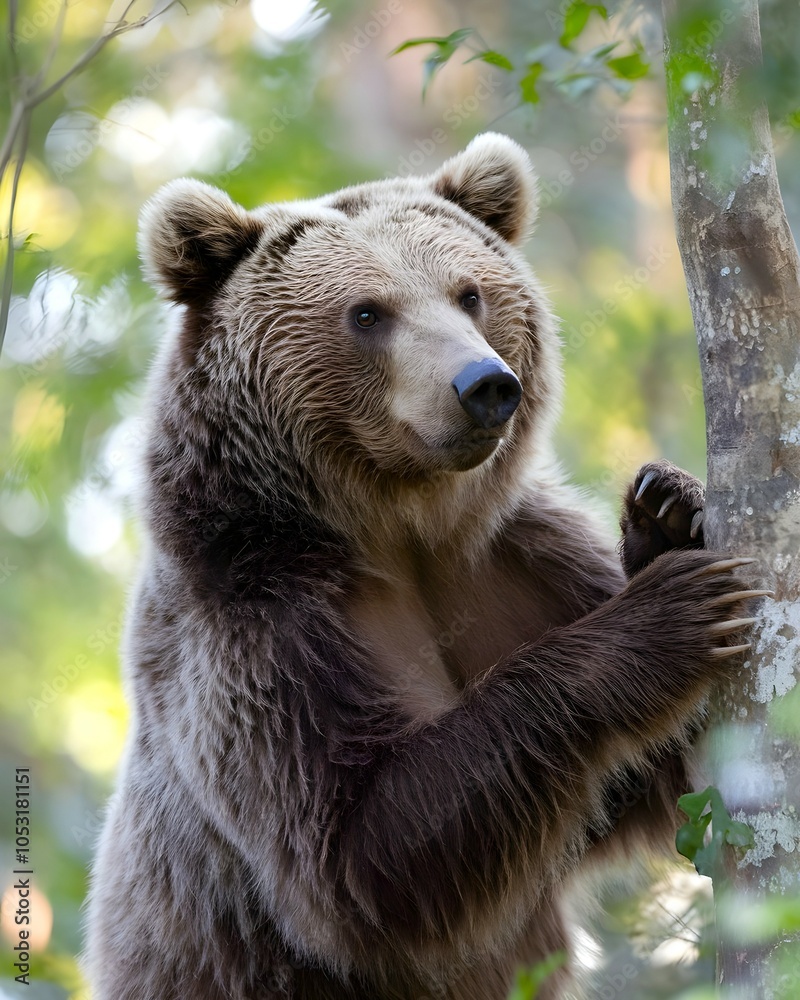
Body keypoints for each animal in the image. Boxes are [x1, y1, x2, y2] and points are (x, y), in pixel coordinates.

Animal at [84, 133, 759, 1000]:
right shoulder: (258, 629)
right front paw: (663, 619)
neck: (396, 528)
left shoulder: (513, 562)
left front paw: (667, 516)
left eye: (468, 293)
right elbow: (364, 853)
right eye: (368, 312)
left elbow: (660, 774)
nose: (485, 385)